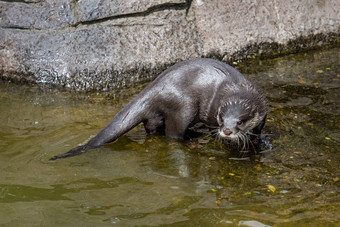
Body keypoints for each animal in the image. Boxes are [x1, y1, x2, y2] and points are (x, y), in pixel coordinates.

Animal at [51, 59, 268, 160]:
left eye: (240, 121)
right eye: (221, 118)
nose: (227, 131)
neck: (237, 89)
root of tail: (156, 86)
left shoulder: (264, 111)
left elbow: (258, 130)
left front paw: (256, 141)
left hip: (158, 115)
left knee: (152, 127)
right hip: (185, 106)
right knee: (173, 134)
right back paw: (191, 142)